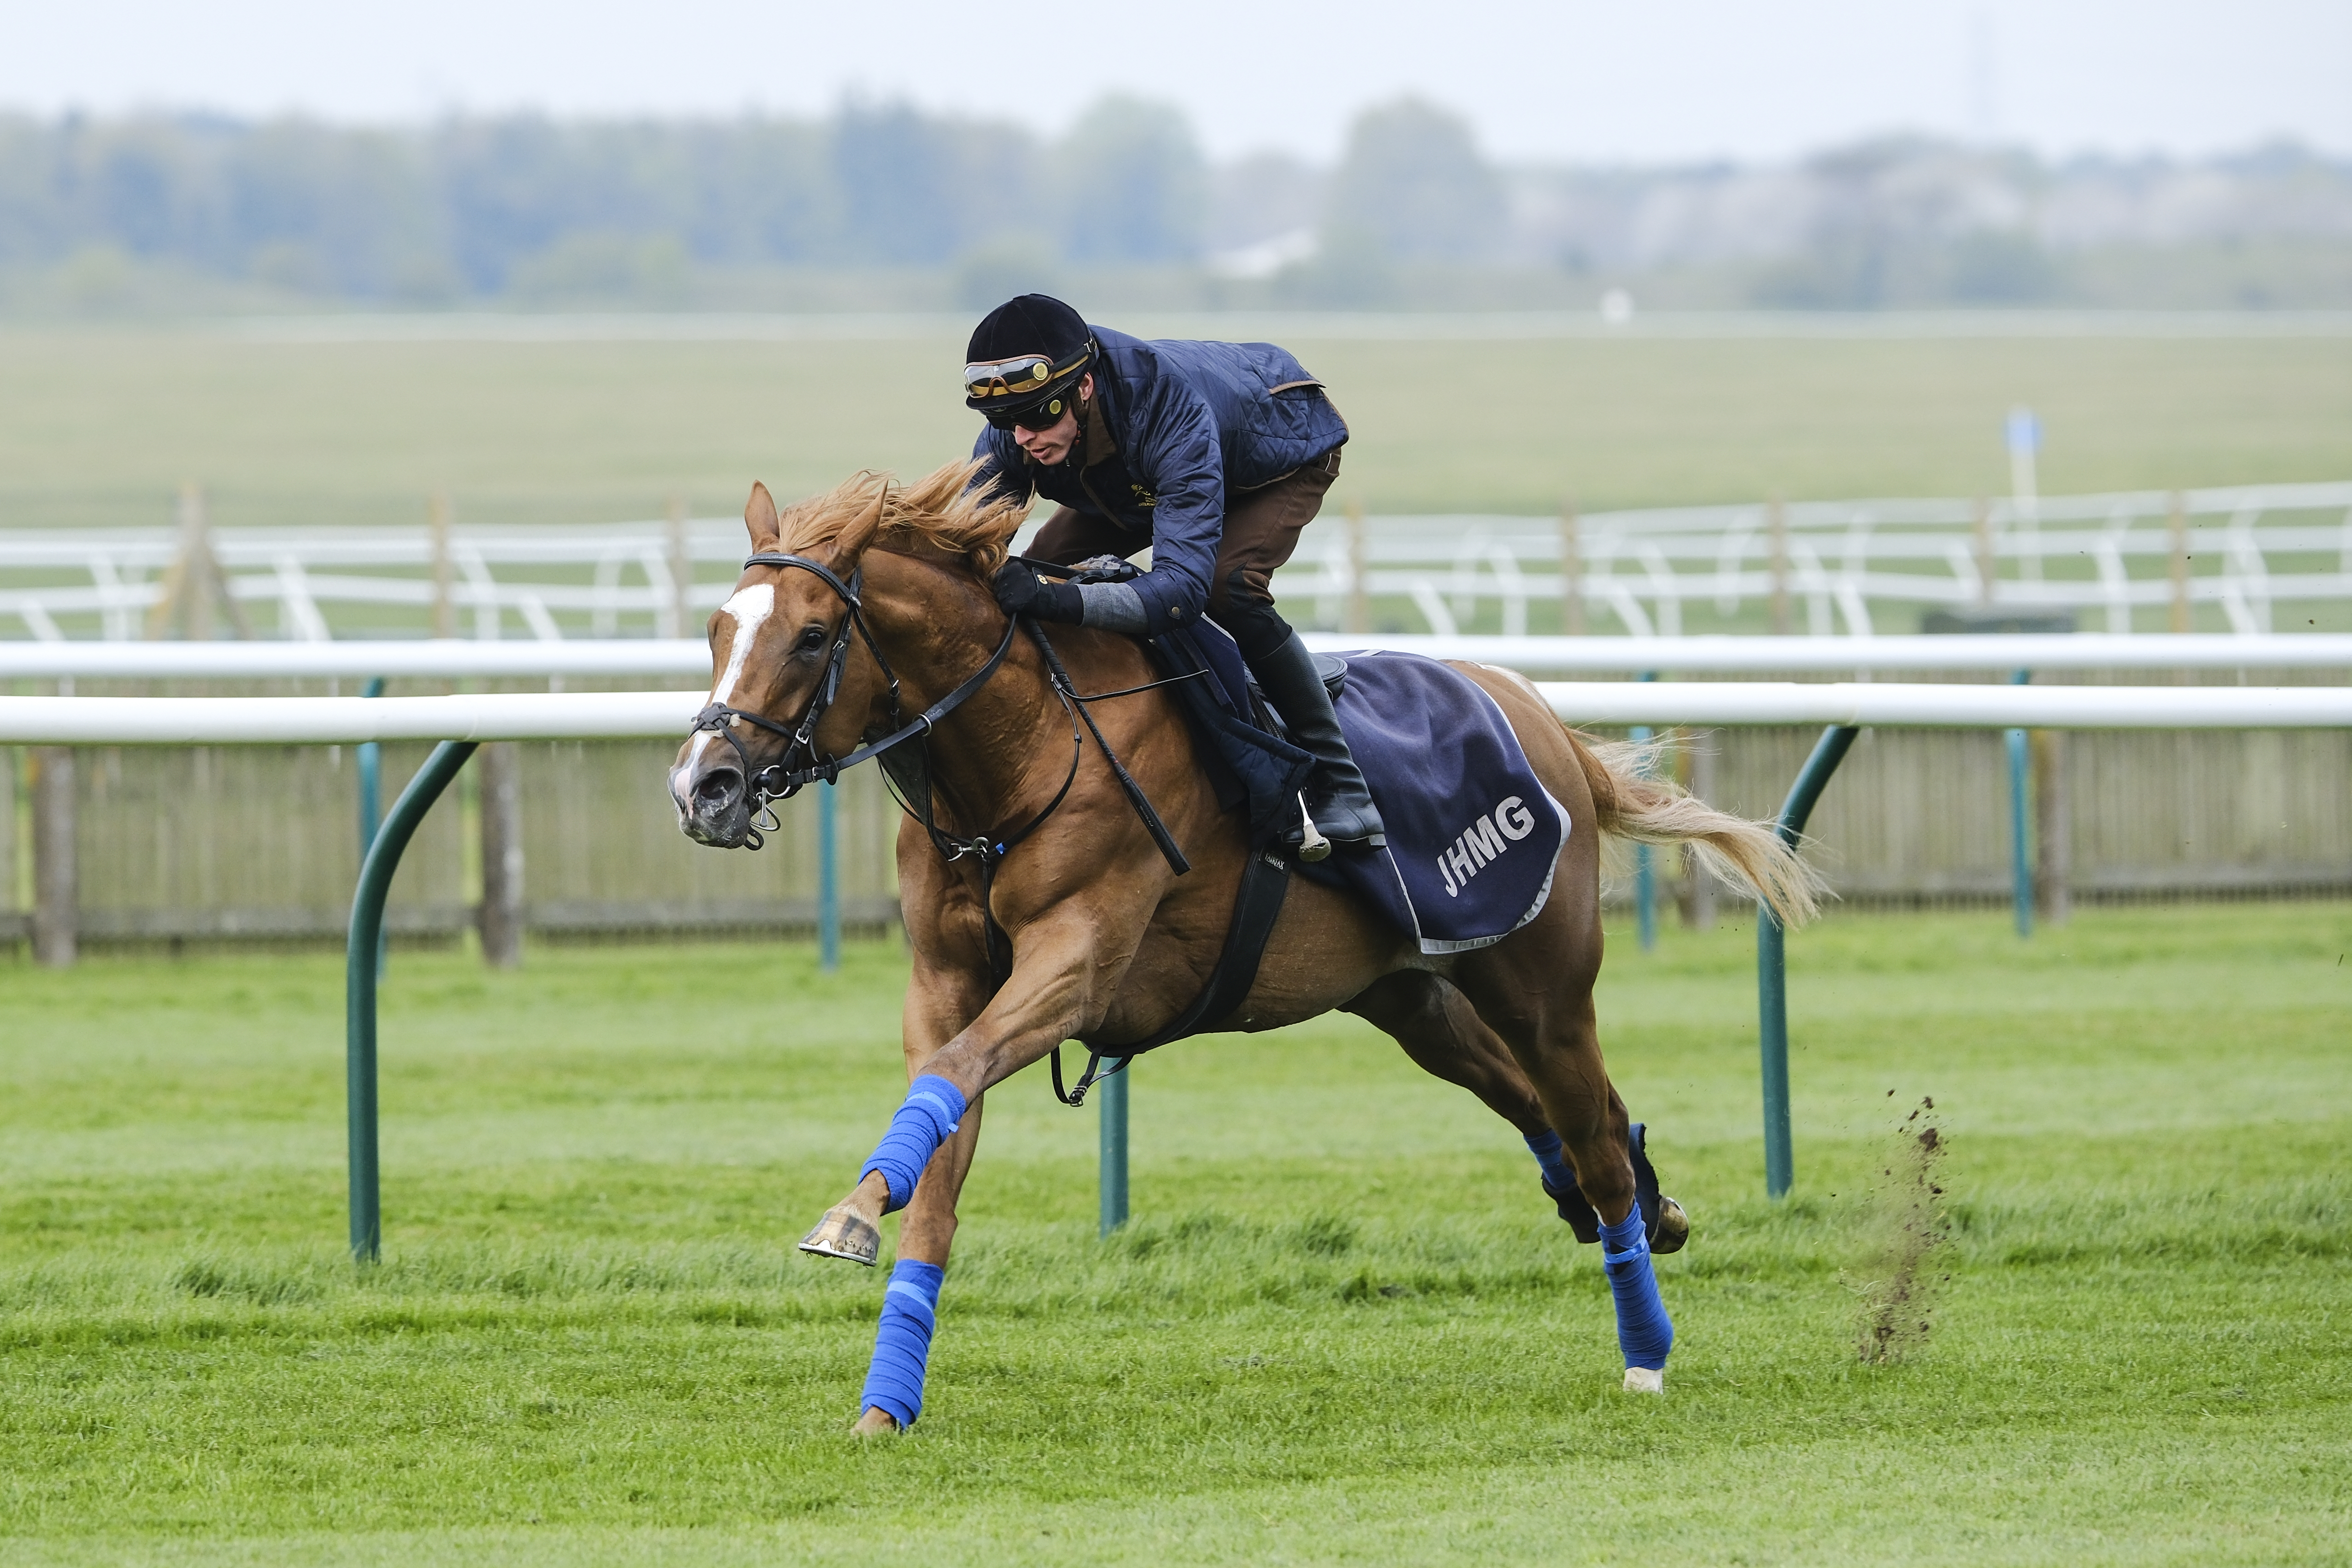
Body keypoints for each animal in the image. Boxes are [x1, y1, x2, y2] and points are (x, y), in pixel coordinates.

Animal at [672, 460, 1806, 1429]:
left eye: (812, 635)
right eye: (718, 627)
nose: (703, 786)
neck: (1020, 752)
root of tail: (1541, 714)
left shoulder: (1077, 962)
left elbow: (953, 1073)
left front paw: (850, 1213)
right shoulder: (946, 981)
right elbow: (937, 1134)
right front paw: (885, 1392)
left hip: (1541, 982)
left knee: (1592, 1129)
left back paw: (1644, 1342)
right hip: (1414, 996)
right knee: (1565, 1116)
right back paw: (1642, 1207)